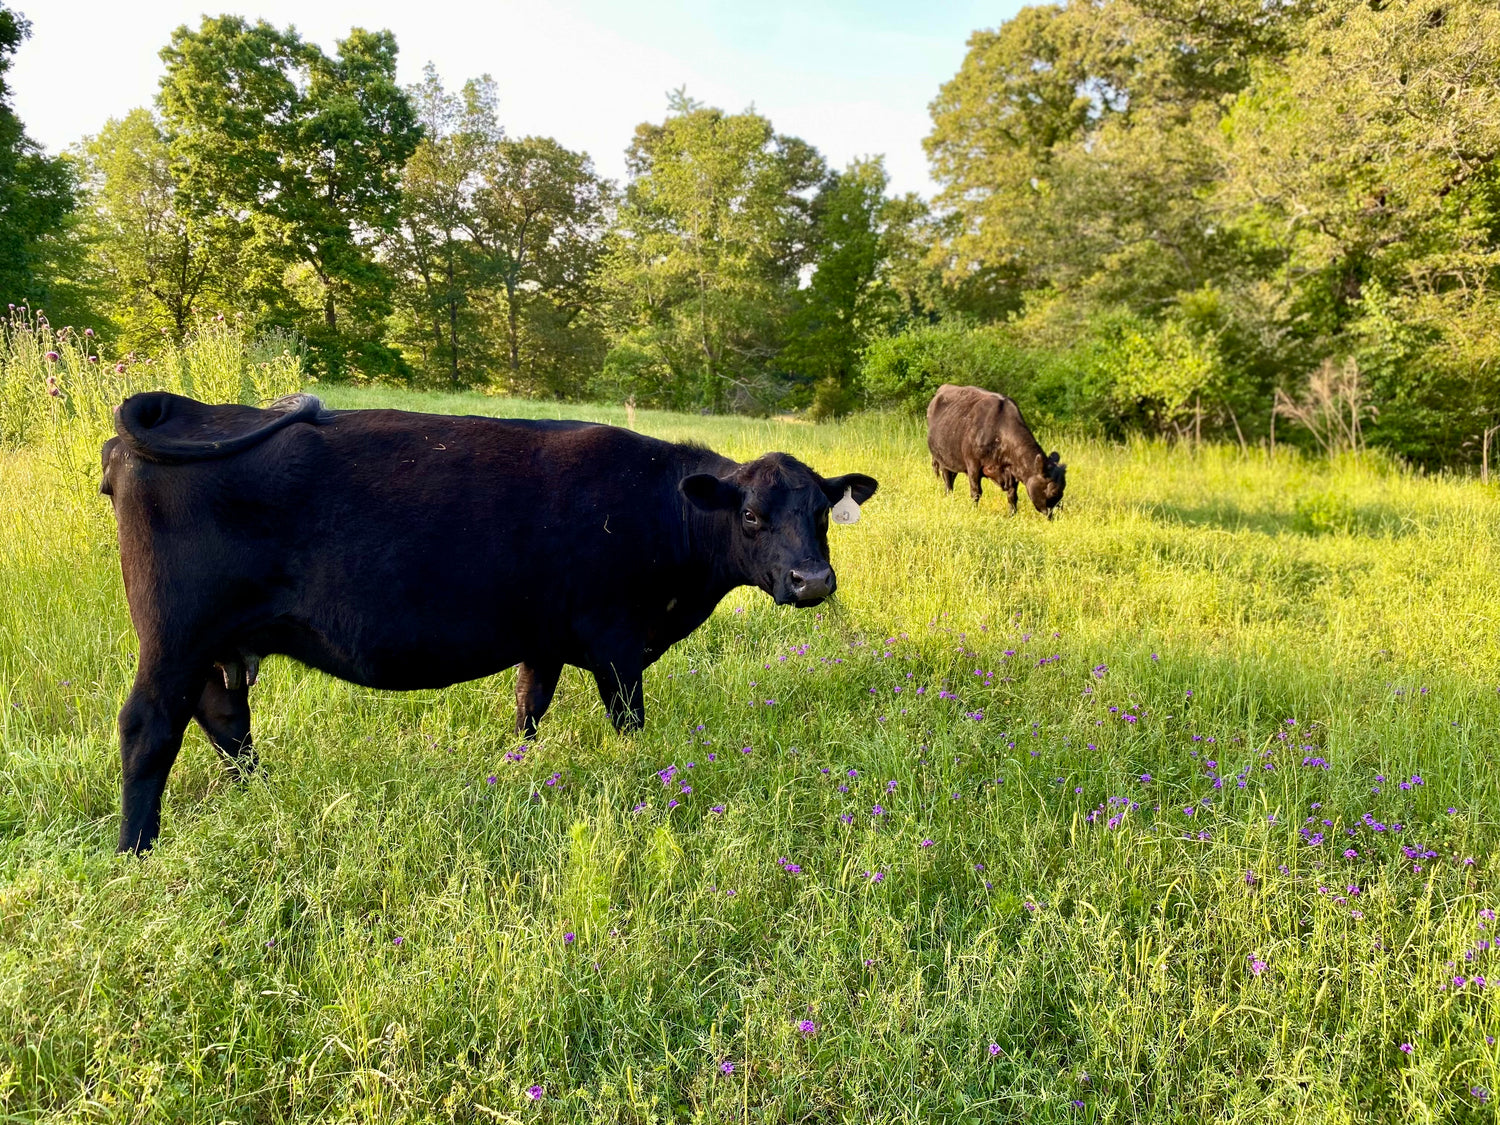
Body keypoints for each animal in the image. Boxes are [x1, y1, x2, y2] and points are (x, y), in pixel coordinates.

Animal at [102, 393, 876, 852]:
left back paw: (262, 794)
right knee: (150, 728)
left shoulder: (546, 638)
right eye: (750, 515)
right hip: (173, 638)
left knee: (223, 717)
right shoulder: (617, 644)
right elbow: (629, 723)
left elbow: (529, 706)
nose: (813, 581)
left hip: (216, 644)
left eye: (820, 513)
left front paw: (515, 770)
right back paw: (137, 848)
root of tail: (193, 412)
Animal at [924, 381, 1068, 519]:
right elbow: (976, 492)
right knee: (947, 481)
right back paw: (949, 499)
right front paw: (974, 511)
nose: (1058, 515)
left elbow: (1012, 496)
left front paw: (1012, 515)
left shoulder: (1013, 470)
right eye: (1054, 491)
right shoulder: (973, 465)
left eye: (1064, 488)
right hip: (942, 459)